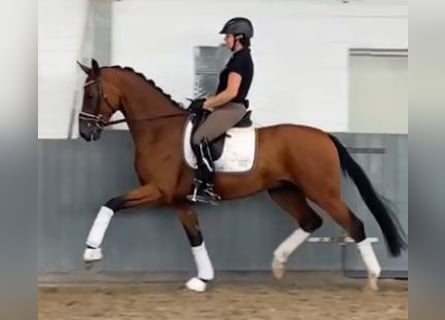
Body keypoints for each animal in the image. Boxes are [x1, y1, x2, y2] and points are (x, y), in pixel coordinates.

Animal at [75, 59, 406, 292]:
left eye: (91, 93)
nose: (85, 132)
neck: (160, 129)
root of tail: (325, 136)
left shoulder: (157, 190)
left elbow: (111, 203)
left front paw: (91, 254)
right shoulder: (180, 200)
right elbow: (195, 237)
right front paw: (203, 279)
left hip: (323, 191)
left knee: (354, 224)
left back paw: (373, 278)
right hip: (284, 191)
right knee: (311, 222)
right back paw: (278, 263)